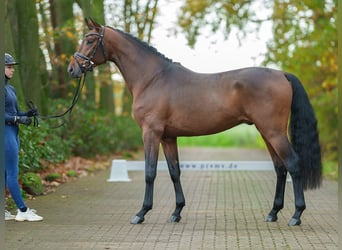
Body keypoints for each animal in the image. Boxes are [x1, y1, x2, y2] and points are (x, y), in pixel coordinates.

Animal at [68, 18, 322, 227]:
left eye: (90, 40)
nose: (72, 68)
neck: (152, 78)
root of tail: (282, 75)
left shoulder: (151, 133)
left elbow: (150, 172)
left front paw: (141, 213)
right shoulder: (168, 137)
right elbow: (174, 171)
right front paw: (176, 212)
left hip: (273, 132)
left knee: (293, 164)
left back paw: (296, 215)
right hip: (266, 131)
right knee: (280, 168)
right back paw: (273, 213)